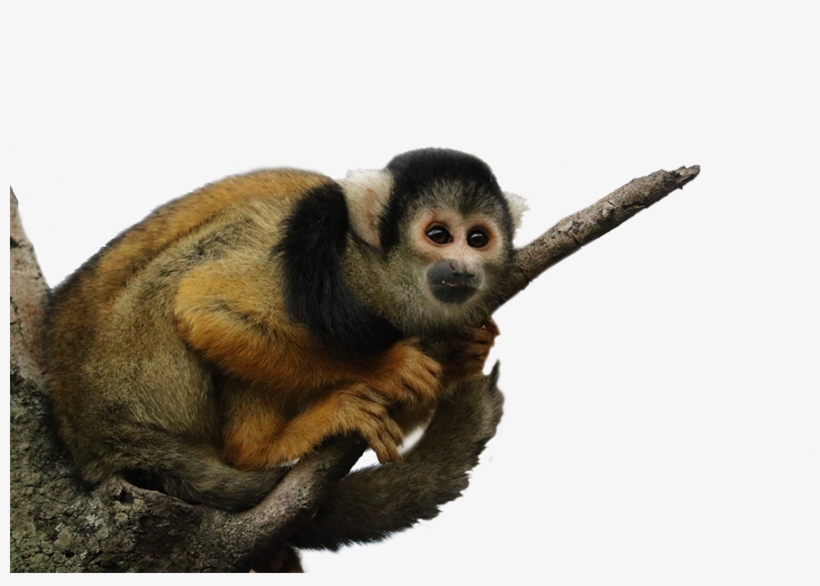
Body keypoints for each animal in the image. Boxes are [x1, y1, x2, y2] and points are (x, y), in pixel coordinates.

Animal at [44, 148, 526, 516]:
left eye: (478, 239)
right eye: (439, 235)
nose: (462, 268)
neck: (376, 271)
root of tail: (95, 438)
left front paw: (464, 355)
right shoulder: (323, 257)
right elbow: (205, 307)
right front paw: (382, 368)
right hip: (137, 369)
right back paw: (259, 448)